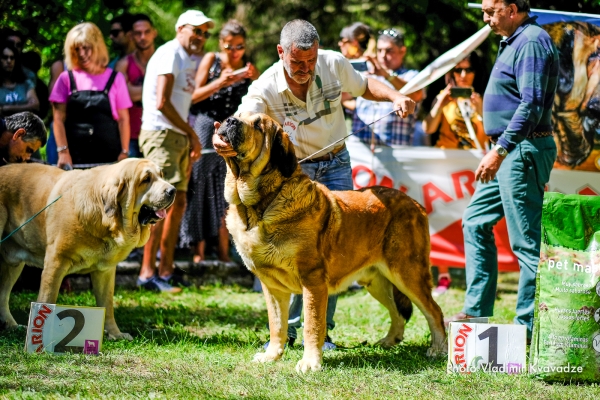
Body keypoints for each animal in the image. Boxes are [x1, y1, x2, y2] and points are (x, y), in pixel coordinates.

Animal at [1, 158, 176, 340]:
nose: (173, 190)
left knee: (3, 295)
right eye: (146, 179)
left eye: (161, 175)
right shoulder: (55, 263)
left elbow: (107, 305)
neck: (105, 217)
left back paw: (11, 325)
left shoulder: (105, 272)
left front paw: (115, 333)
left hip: (13, 264)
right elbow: (47, 299)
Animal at [216, 111, 446, 372]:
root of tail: (415, 203)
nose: (229, 120)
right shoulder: (272, 286)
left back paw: (438, 350)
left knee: (434, 311)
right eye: (238, 114)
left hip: (407, 273)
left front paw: (310, 363)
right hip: (377, 280)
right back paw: (389, 342)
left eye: (257, 125)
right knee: (398, 312)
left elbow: (312, 324)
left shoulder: (312, 280)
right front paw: (272, 355)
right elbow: (277, 325)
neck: (259, 205)